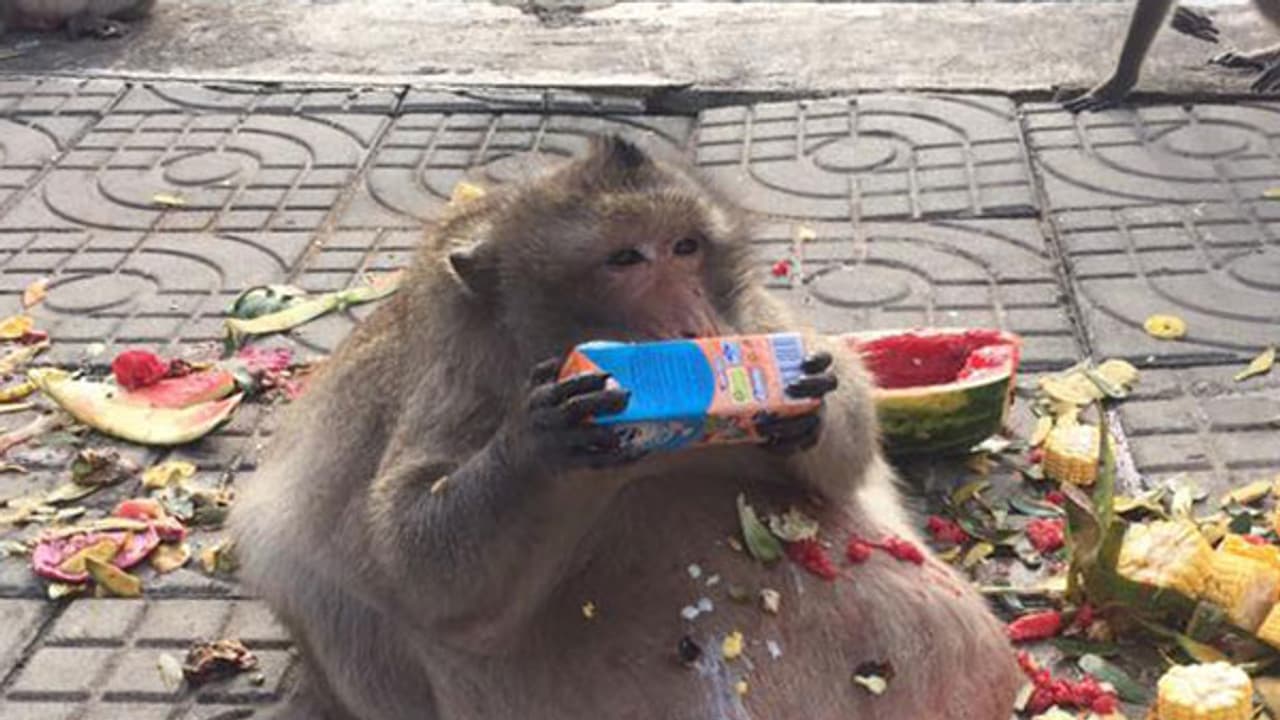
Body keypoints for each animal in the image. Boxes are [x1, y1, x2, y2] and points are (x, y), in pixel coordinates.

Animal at [229, 134, 1024, 720]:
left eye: (685, 247)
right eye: (624, 258)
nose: (694, 326)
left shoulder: (748, 313)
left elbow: (851, 444)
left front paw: (810, 399)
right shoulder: (456, 363)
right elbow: (412, 559)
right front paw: (541, 444)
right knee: (306, 572)